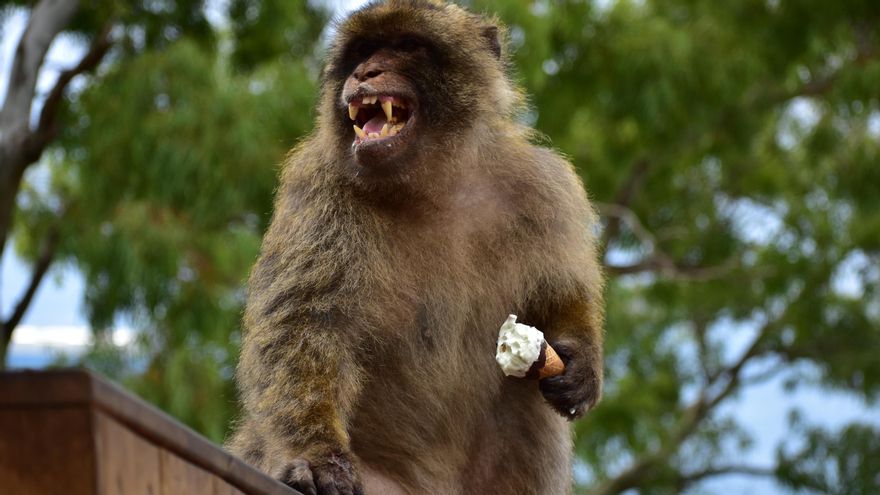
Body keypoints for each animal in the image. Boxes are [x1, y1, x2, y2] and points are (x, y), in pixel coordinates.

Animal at [226, 1, 604, 494]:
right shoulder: (320, 189)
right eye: (363, 50)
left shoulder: (543, 187)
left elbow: (560, 292)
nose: (365, 71)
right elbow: (304, 325)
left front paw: (581, 360)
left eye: (406, 45)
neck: (435, 184)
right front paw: (316, 454)